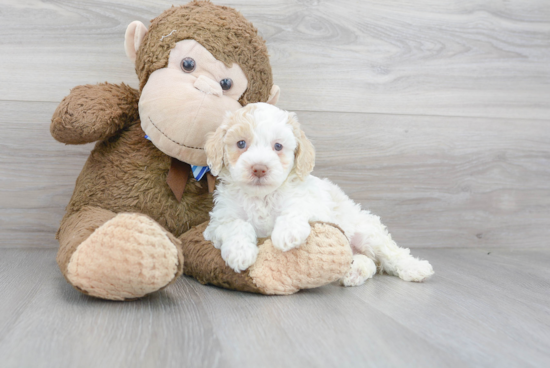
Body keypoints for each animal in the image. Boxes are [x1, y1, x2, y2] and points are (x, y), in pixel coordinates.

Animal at [204, 102, 436, 286]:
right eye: (241, 143)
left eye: (278, 146)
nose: (259, 168)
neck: (261, 197)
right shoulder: (218, 221)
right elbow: (236, 224)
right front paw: (240, 252)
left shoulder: (312, 202)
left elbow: (297, 207)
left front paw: (287, 233)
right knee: (367, 261)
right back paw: (354, 271)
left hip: (368, 232)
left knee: (392, 253)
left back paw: (415, 268)